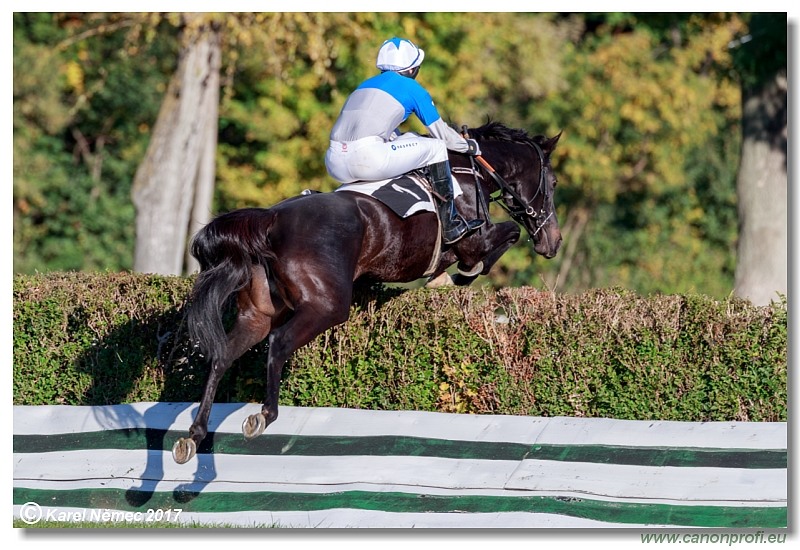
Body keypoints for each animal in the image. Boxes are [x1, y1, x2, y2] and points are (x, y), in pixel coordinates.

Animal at [172, 122, 564, 466]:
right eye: (554, 182)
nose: (554, 242)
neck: (471, 173)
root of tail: (271, 220)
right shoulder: (473, 241)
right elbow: (504, 237)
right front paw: (456, 278)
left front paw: (444, 279)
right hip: (326, 306)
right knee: (278, 343)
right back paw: (264, 415)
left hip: (259, 314)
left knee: (222, 356)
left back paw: (194, 435)